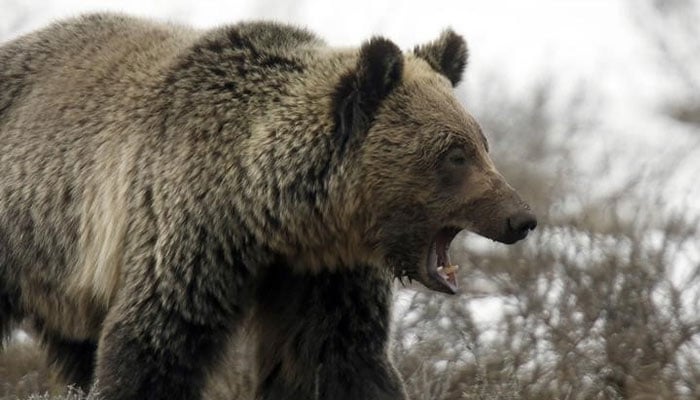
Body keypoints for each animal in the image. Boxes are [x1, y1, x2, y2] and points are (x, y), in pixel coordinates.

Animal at [0, 12, 536, 400]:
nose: (521, 218)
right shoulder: (188, 233)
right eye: (455, 155)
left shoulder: (323, 273)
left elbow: (339, 358)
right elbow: (154, 344)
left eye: (482, 143)